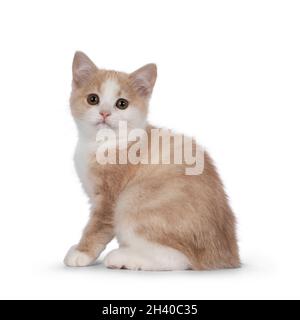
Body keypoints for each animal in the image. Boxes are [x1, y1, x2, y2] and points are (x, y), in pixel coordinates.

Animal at [64, 50, 240, 270]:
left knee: (179, 258)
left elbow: (97, 226)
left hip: (133, 200)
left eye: (122, 104)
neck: (102, 144)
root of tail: (227, 255)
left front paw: (81, 253)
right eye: (93, 99)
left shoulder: (110, 199)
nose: (104, 113)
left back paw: (123, 258)